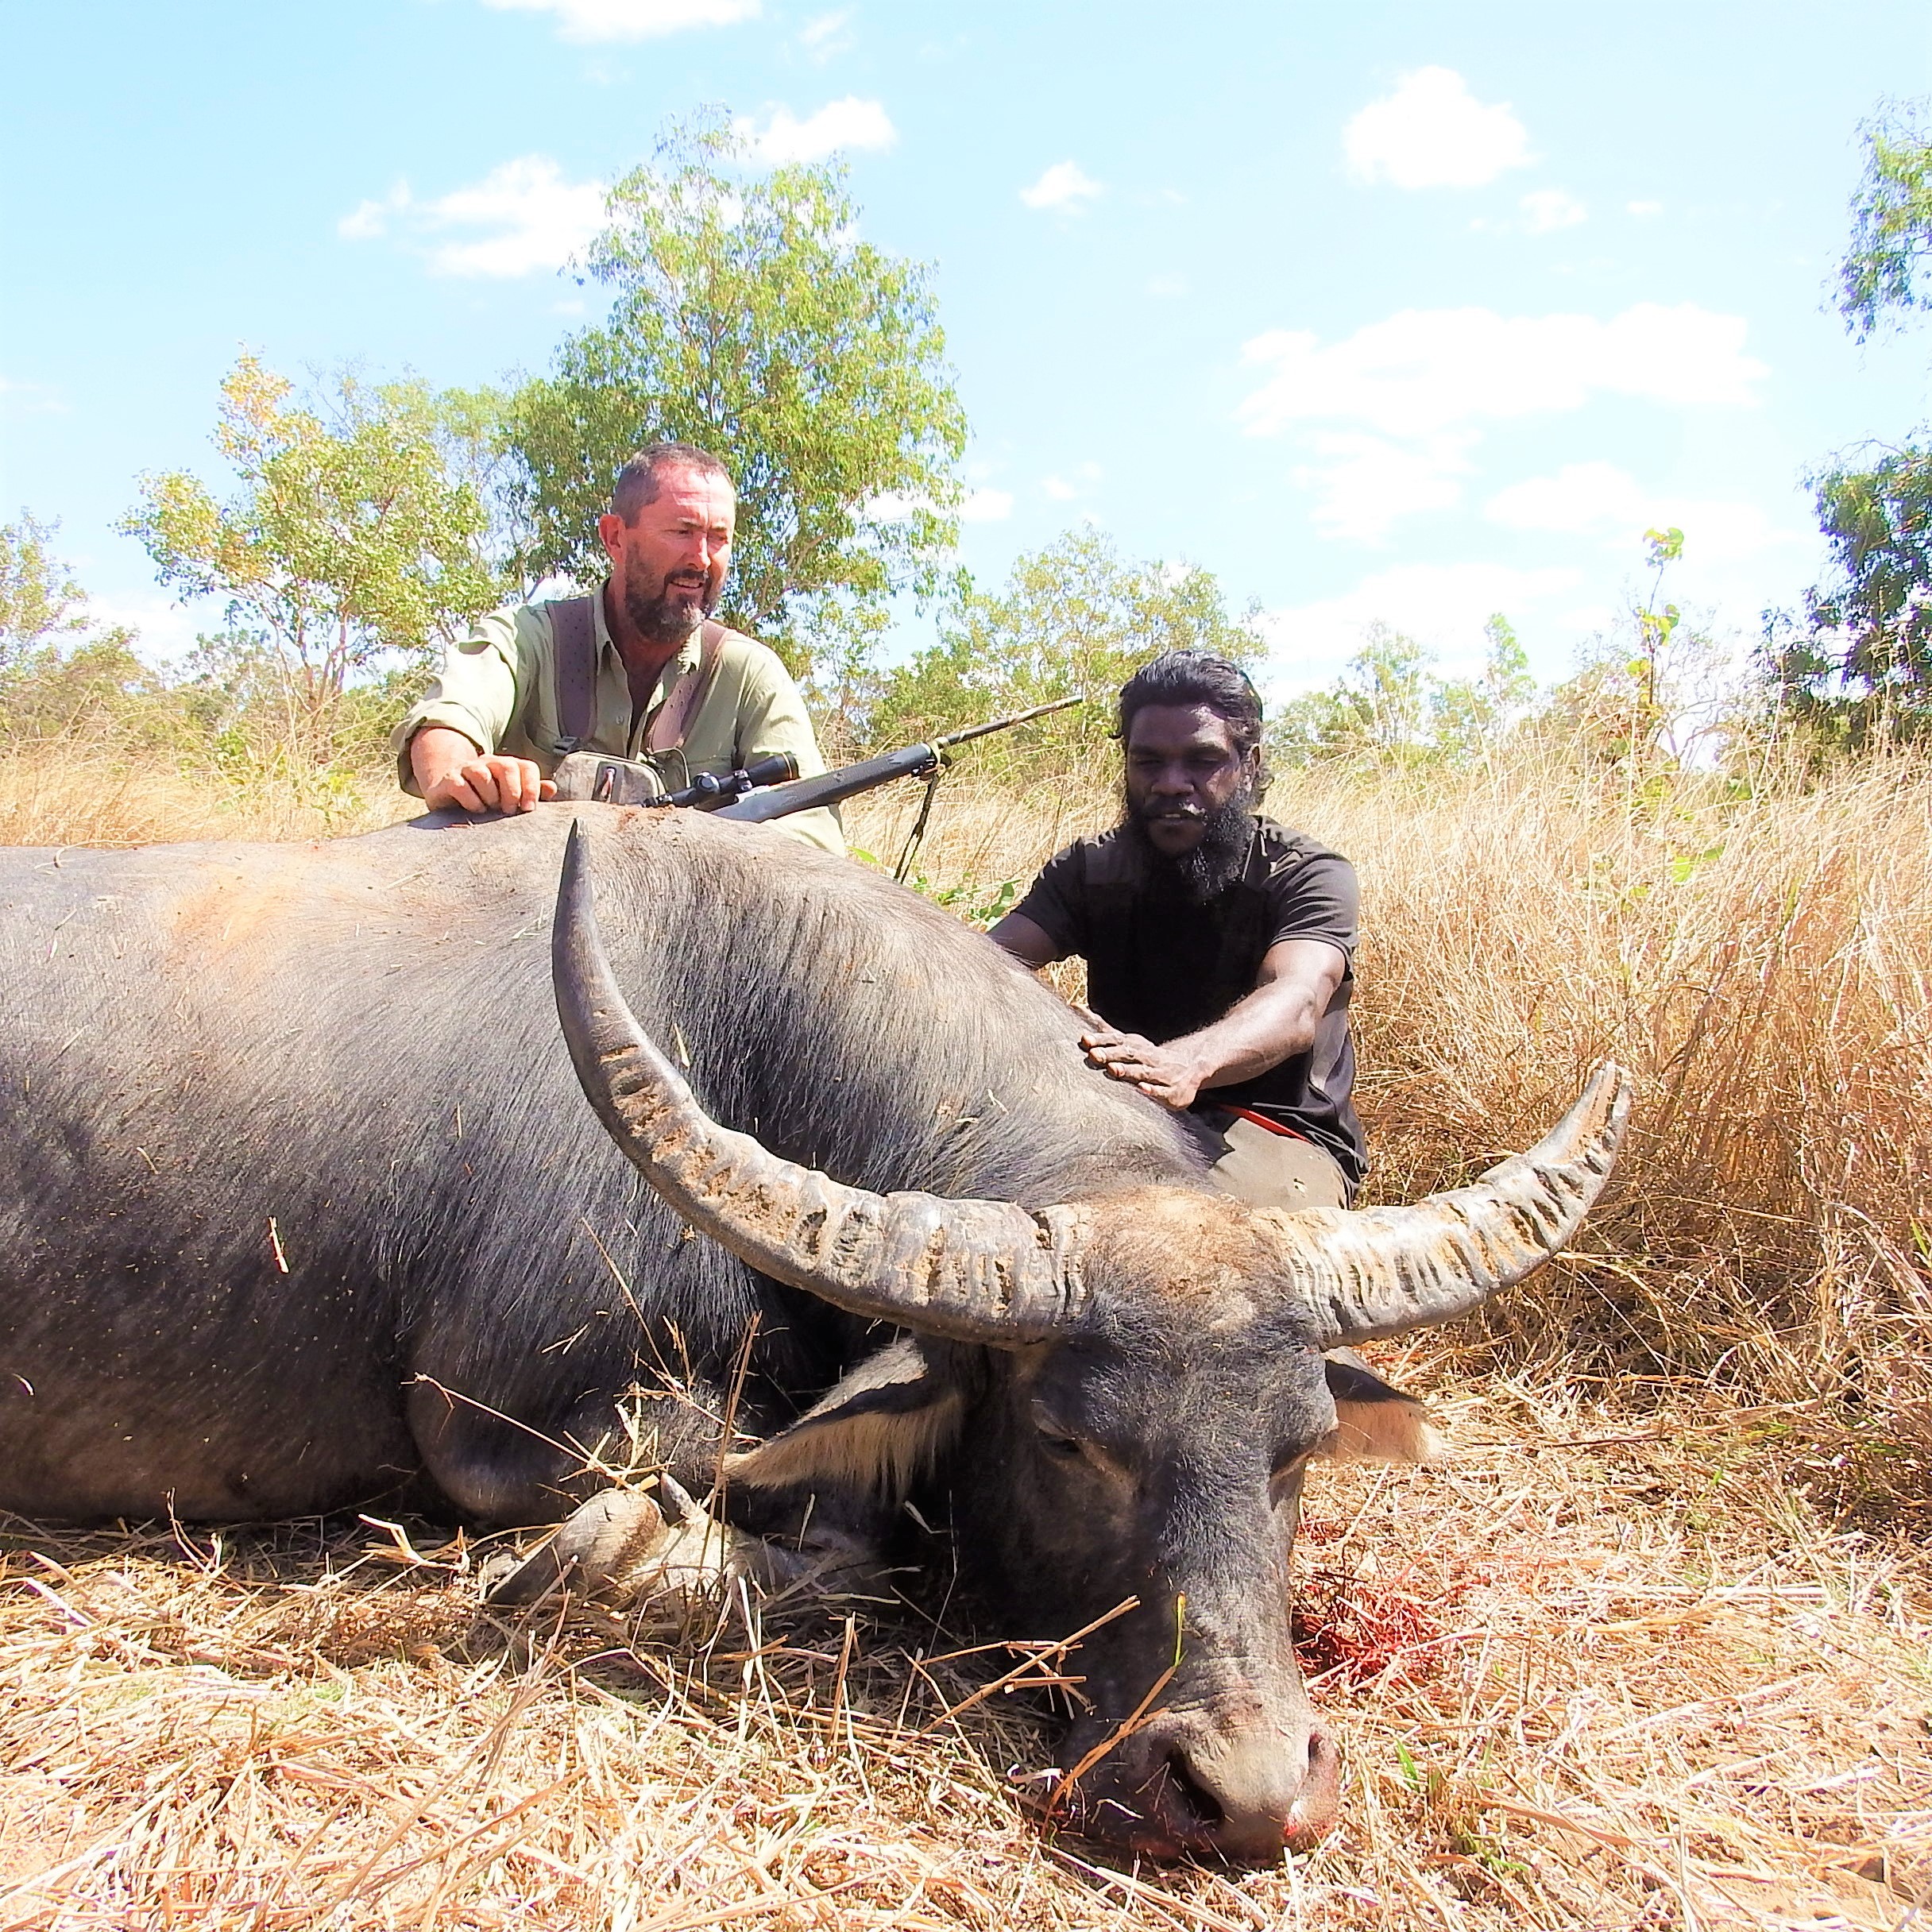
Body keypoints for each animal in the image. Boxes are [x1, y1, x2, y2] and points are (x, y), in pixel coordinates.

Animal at [3, 799, 1630, 1854]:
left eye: (1297, 1449)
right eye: (1069, 1442)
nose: (1244, 1794)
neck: (731, 1016)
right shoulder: (516, 1435)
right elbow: (830, 1536)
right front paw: (600, 1558)